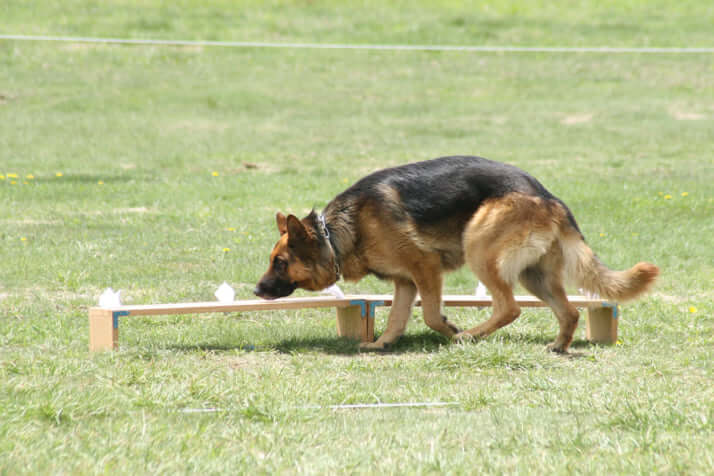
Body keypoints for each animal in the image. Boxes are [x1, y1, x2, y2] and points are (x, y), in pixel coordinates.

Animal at [254, 157, 656, 354]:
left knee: (509, 307)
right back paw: (558, 346)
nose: (256, 291)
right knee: (569, 311)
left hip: (478, 246)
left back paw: (470, 337)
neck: (335, 235)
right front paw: (382, 344)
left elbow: (431, 314)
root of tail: (548, 197)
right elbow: (396, 318)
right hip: (534, 275)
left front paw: (450, 328)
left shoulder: (425, 268)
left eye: (280, 262)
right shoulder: (404, 282)